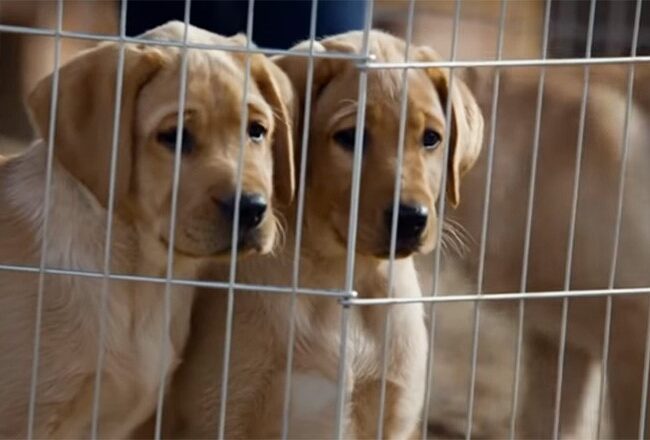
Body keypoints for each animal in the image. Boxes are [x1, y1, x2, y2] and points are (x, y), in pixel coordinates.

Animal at [166, 29, 480, 438]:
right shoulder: (220, 412)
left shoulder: (394, 415)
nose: (411, 218)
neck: (341, 277)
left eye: (430, 139)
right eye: (350, 137)